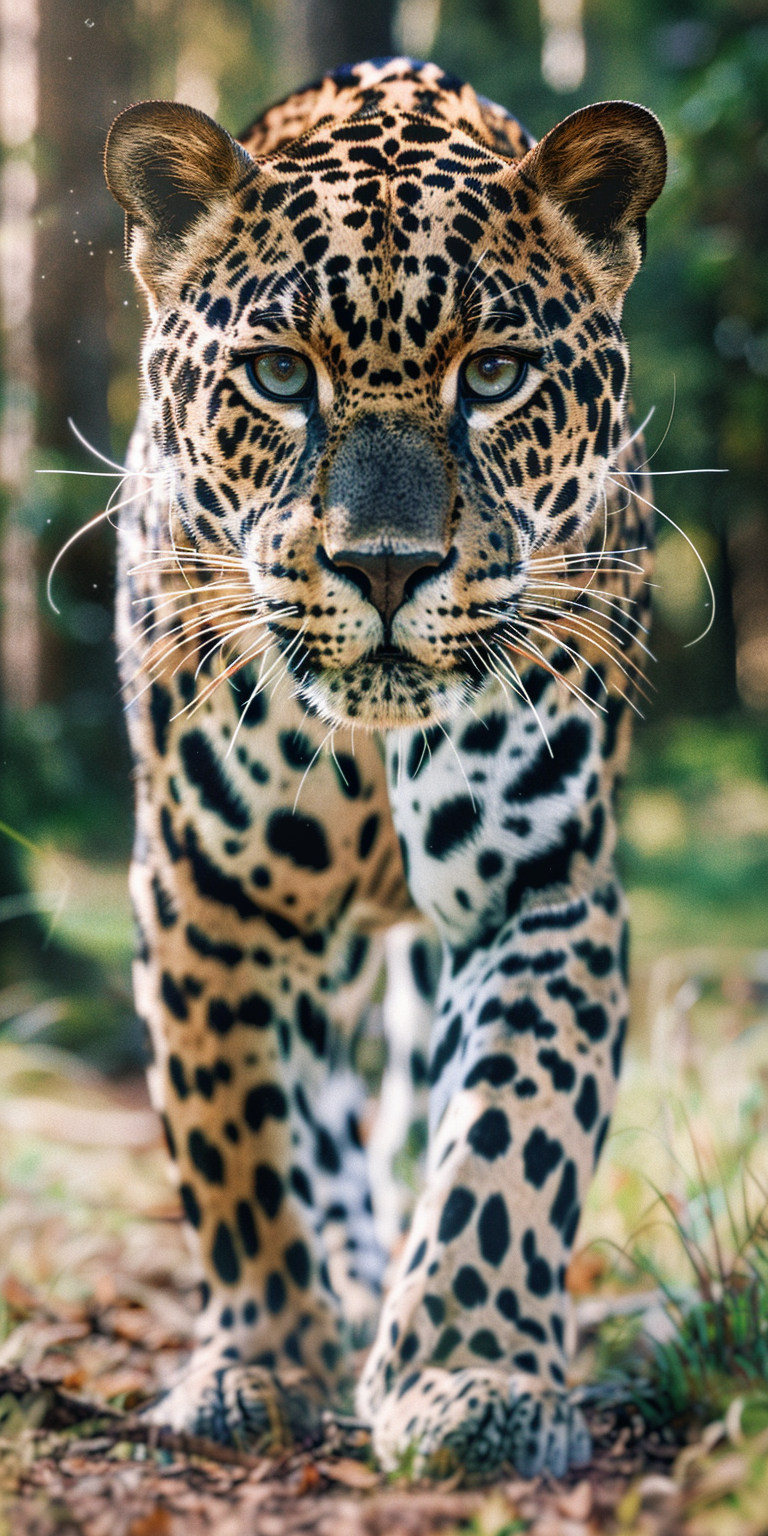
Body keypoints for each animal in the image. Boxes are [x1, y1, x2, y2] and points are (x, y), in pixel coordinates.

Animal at [103, 55, 665, 1479]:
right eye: (278, 376)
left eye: (498, 374)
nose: (388, 569)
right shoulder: (208, 891)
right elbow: (242, 1137)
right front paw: (265, 1367)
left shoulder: (542, 884)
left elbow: (511, 1133)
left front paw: (474, 1376)